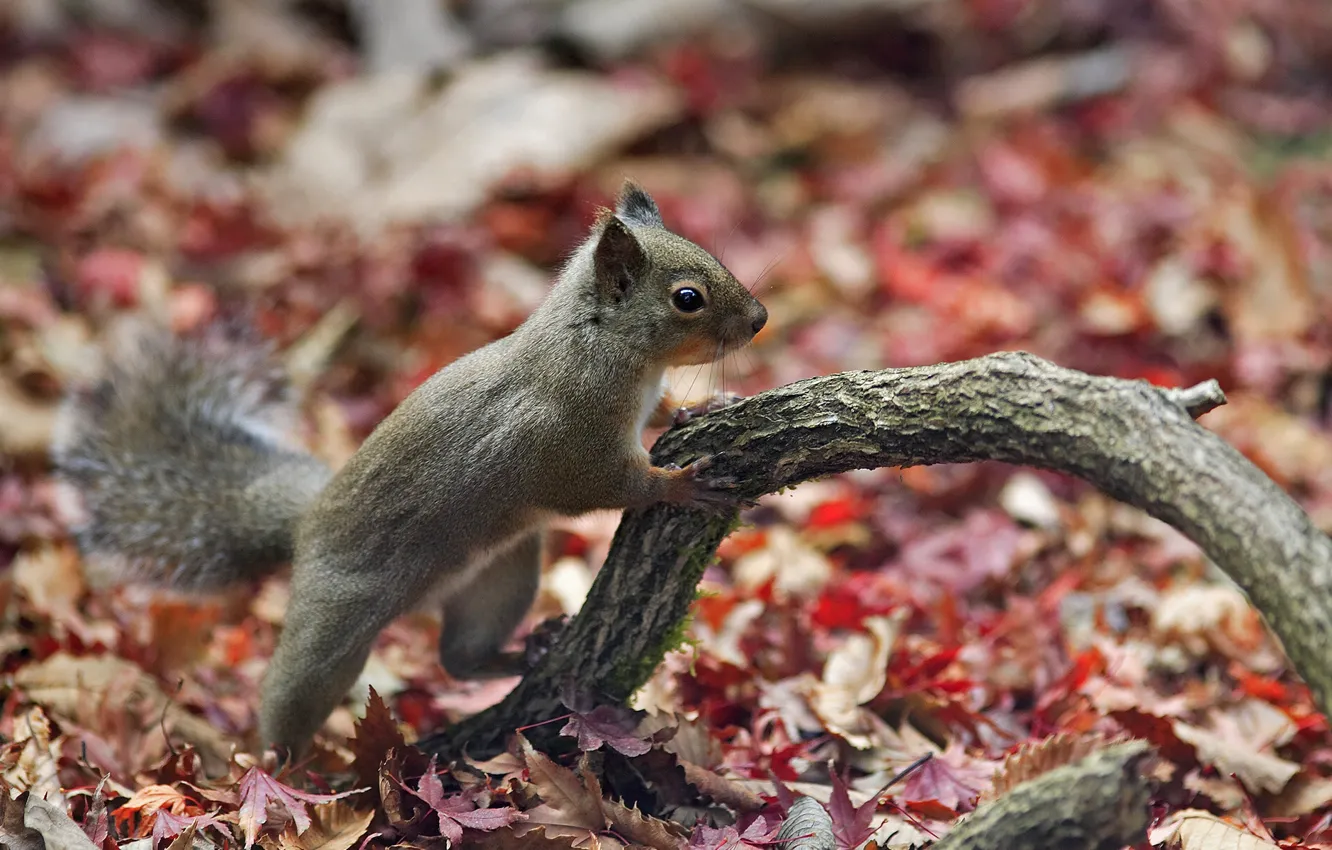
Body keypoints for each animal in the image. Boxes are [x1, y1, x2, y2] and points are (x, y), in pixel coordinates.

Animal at [52, 182, 768, 754]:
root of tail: (305, 527)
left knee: (460, 657)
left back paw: (525, 651)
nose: (761, 319)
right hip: (333, 624)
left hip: (500, 576)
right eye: (687, 298)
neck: (604, 345)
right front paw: (679, 484)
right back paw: (280, 773)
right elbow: (606, 485)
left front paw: (704, 406)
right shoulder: (568, 443)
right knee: (293, 692)